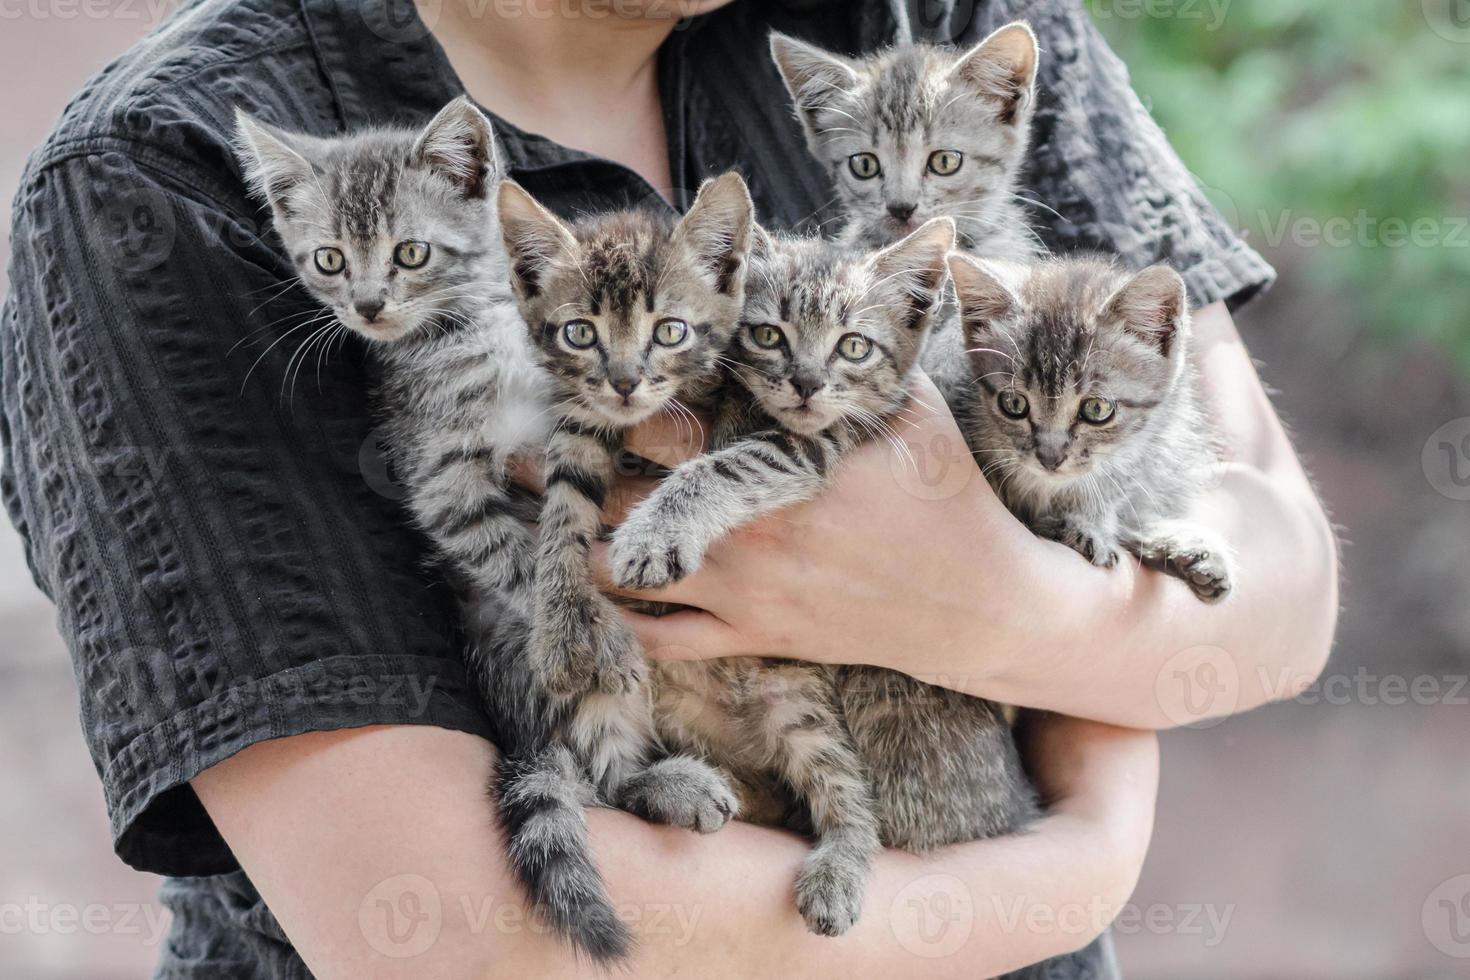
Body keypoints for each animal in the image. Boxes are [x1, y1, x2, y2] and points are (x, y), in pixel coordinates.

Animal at [232, 99, 549, 620]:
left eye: (411, 252)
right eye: (330, 260)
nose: (367, 306)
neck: (476, 317)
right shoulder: (437, 468)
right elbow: (516, 560)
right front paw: (587, 633)